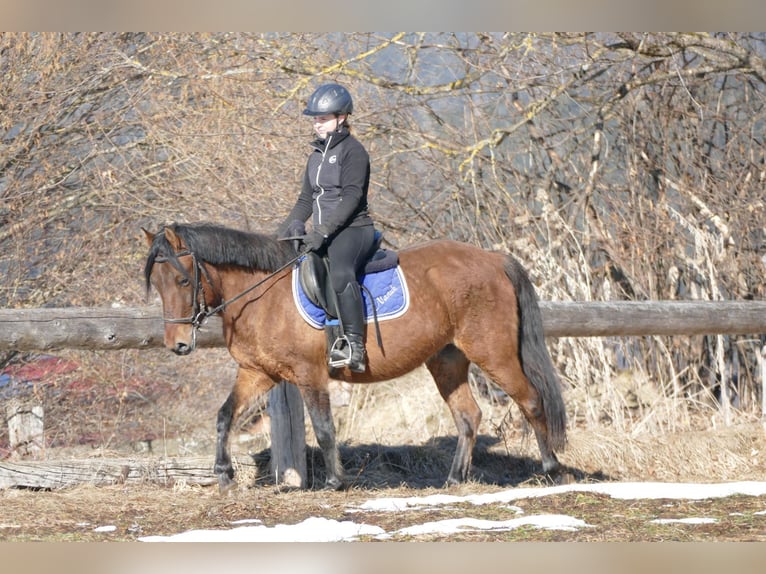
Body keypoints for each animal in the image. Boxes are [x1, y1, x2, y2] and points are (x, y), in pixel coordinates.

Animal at [144, 223, 568, 492]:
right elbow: (224, 416)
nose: (178, 344)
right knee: (468, 415)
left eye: (183, 280)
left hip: (493, 351)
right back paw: (453, 480)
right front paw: (224, 475)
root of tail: (494, 259)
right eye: (158, 285)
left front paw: (335, 481)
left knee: (531, 400)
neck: (263, 296)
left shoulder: (308, 373)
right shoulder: (257, 373)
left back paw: (552, 470)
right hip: (446, 360)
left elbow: (324, 428)